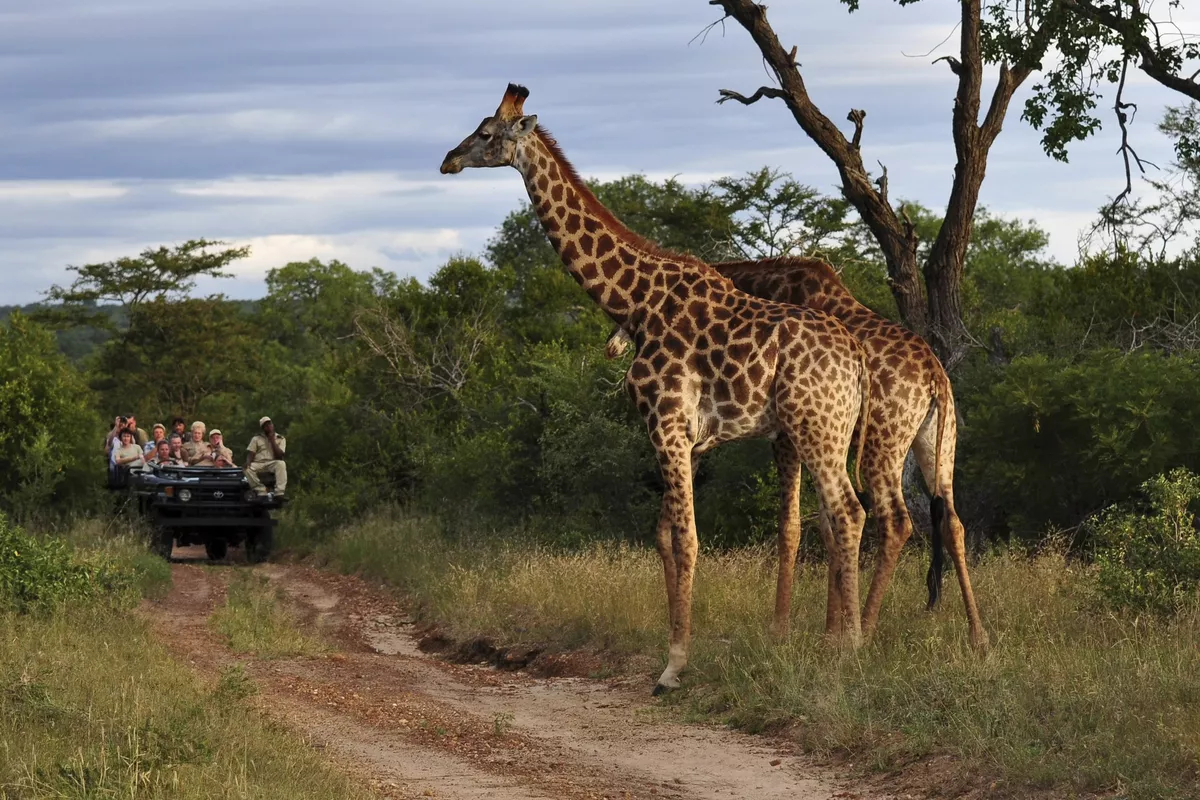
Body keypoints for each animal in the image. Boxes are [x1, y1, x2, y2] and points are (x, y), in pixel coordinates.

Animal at [441, 84, 873, 690]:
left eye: (485, 133)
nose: (448, 160)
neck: (634, 301)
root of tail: (856, 359)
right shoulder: (683, 437)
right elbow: (666, 537)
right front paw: (672, 653)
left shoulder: (666, 425)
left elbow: (688, 540)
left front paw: (674, 667)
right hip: (823, 431)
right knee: (837, 520)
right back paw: (837, 642)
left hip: (817, 428)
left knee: (849, 514)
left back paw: (850, 651)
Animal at [604, 256, 988, 652]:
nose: (612, 345)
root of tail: (935, 377)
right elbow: (827, 526)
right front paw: (831, 631)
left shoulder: (787, 436)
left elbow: (800, 525)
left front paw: (797, 630)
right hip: (938, 443)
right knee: (953, 521)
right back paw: (978, 634)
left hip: (883, 443)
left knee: (896, 521)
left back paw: (867, 627)